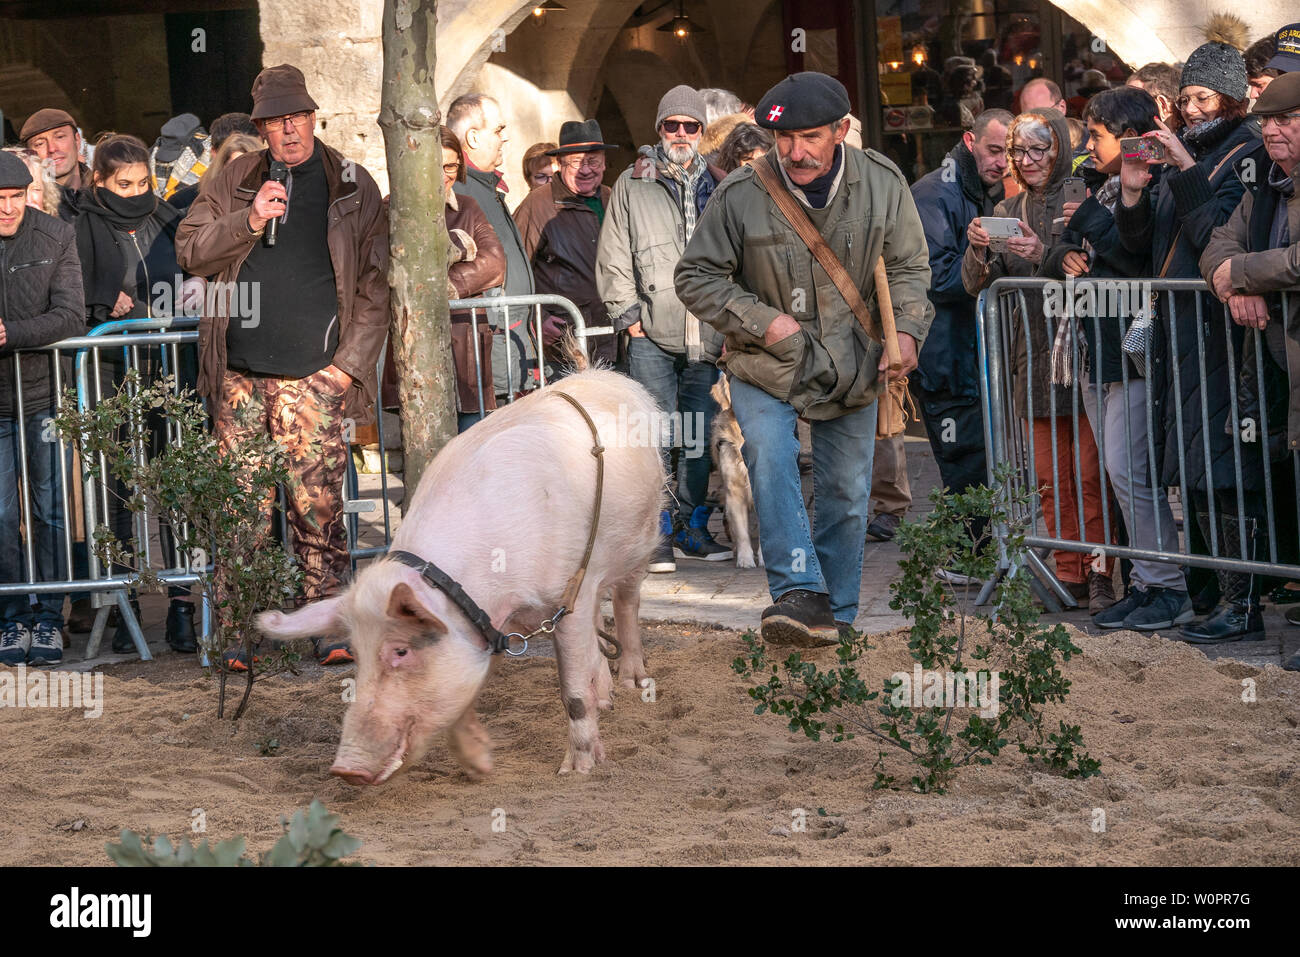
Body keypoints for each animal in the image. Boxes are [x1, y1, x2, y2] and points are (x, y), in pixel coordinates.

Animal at [254, 369, 665, 780]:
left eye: (401, 650)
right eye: (355, 653)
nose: (345, 770)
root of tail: (605, 375)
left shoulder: (565, 601)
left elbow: (574, 694)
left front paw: (575, 771)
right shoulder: (486, 624)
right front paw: (480, 764)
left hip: (641, 540)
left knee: (626, 602)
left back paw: (633, 683)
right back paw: (608, 699)